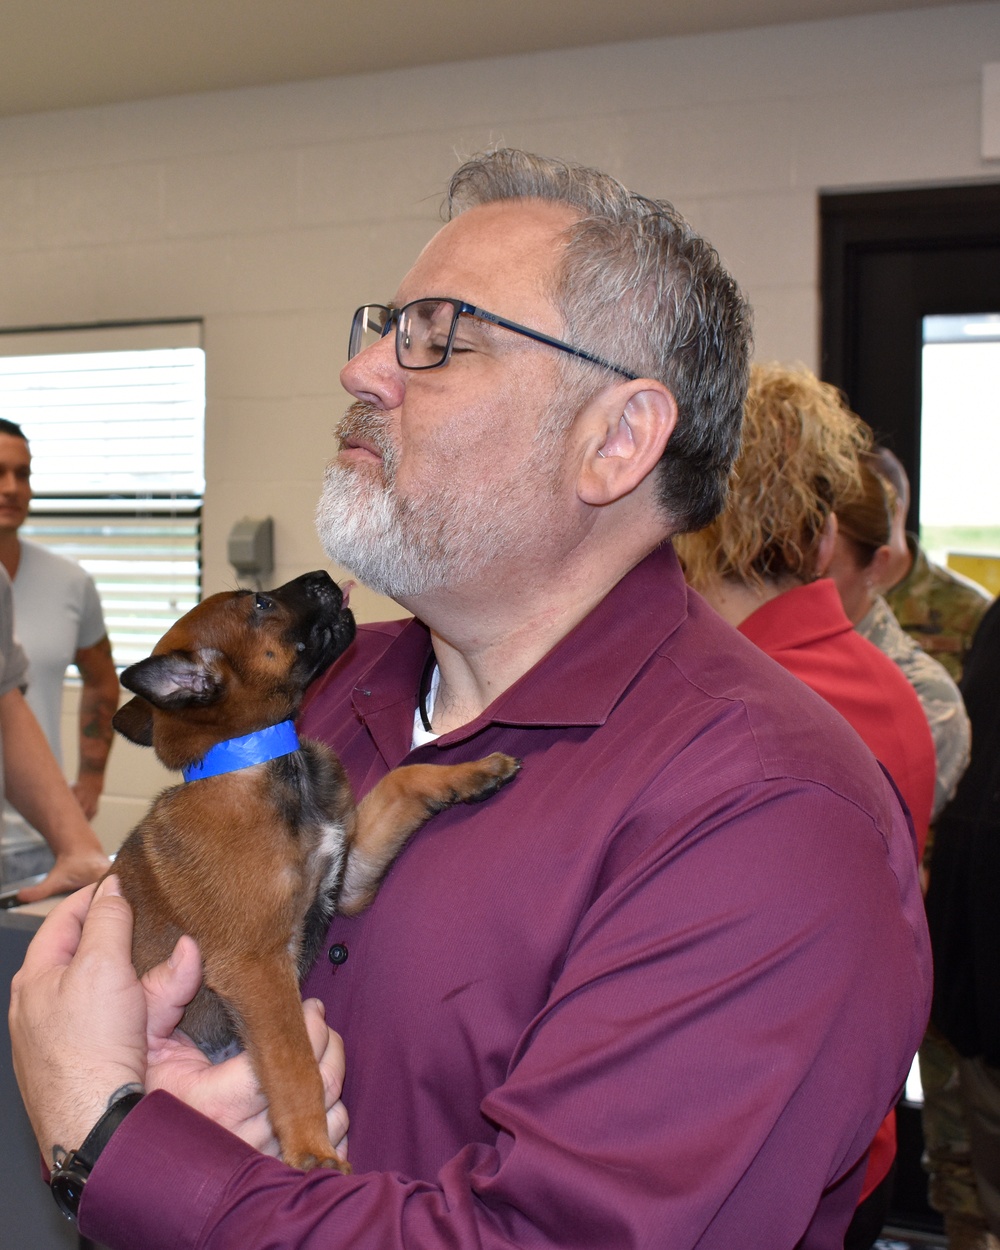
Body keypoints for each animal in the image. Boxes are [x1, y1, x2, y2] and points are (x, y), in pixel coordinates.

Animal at [108, 572, 520, 1175]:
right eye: (260, 604)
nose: (325, 577)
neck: (267, 762)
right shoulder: (255, 967)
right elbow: (294, 1063)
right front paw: (313, 1151)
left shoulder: (345, 878)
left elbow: (402, 781)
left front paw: (473, 771)